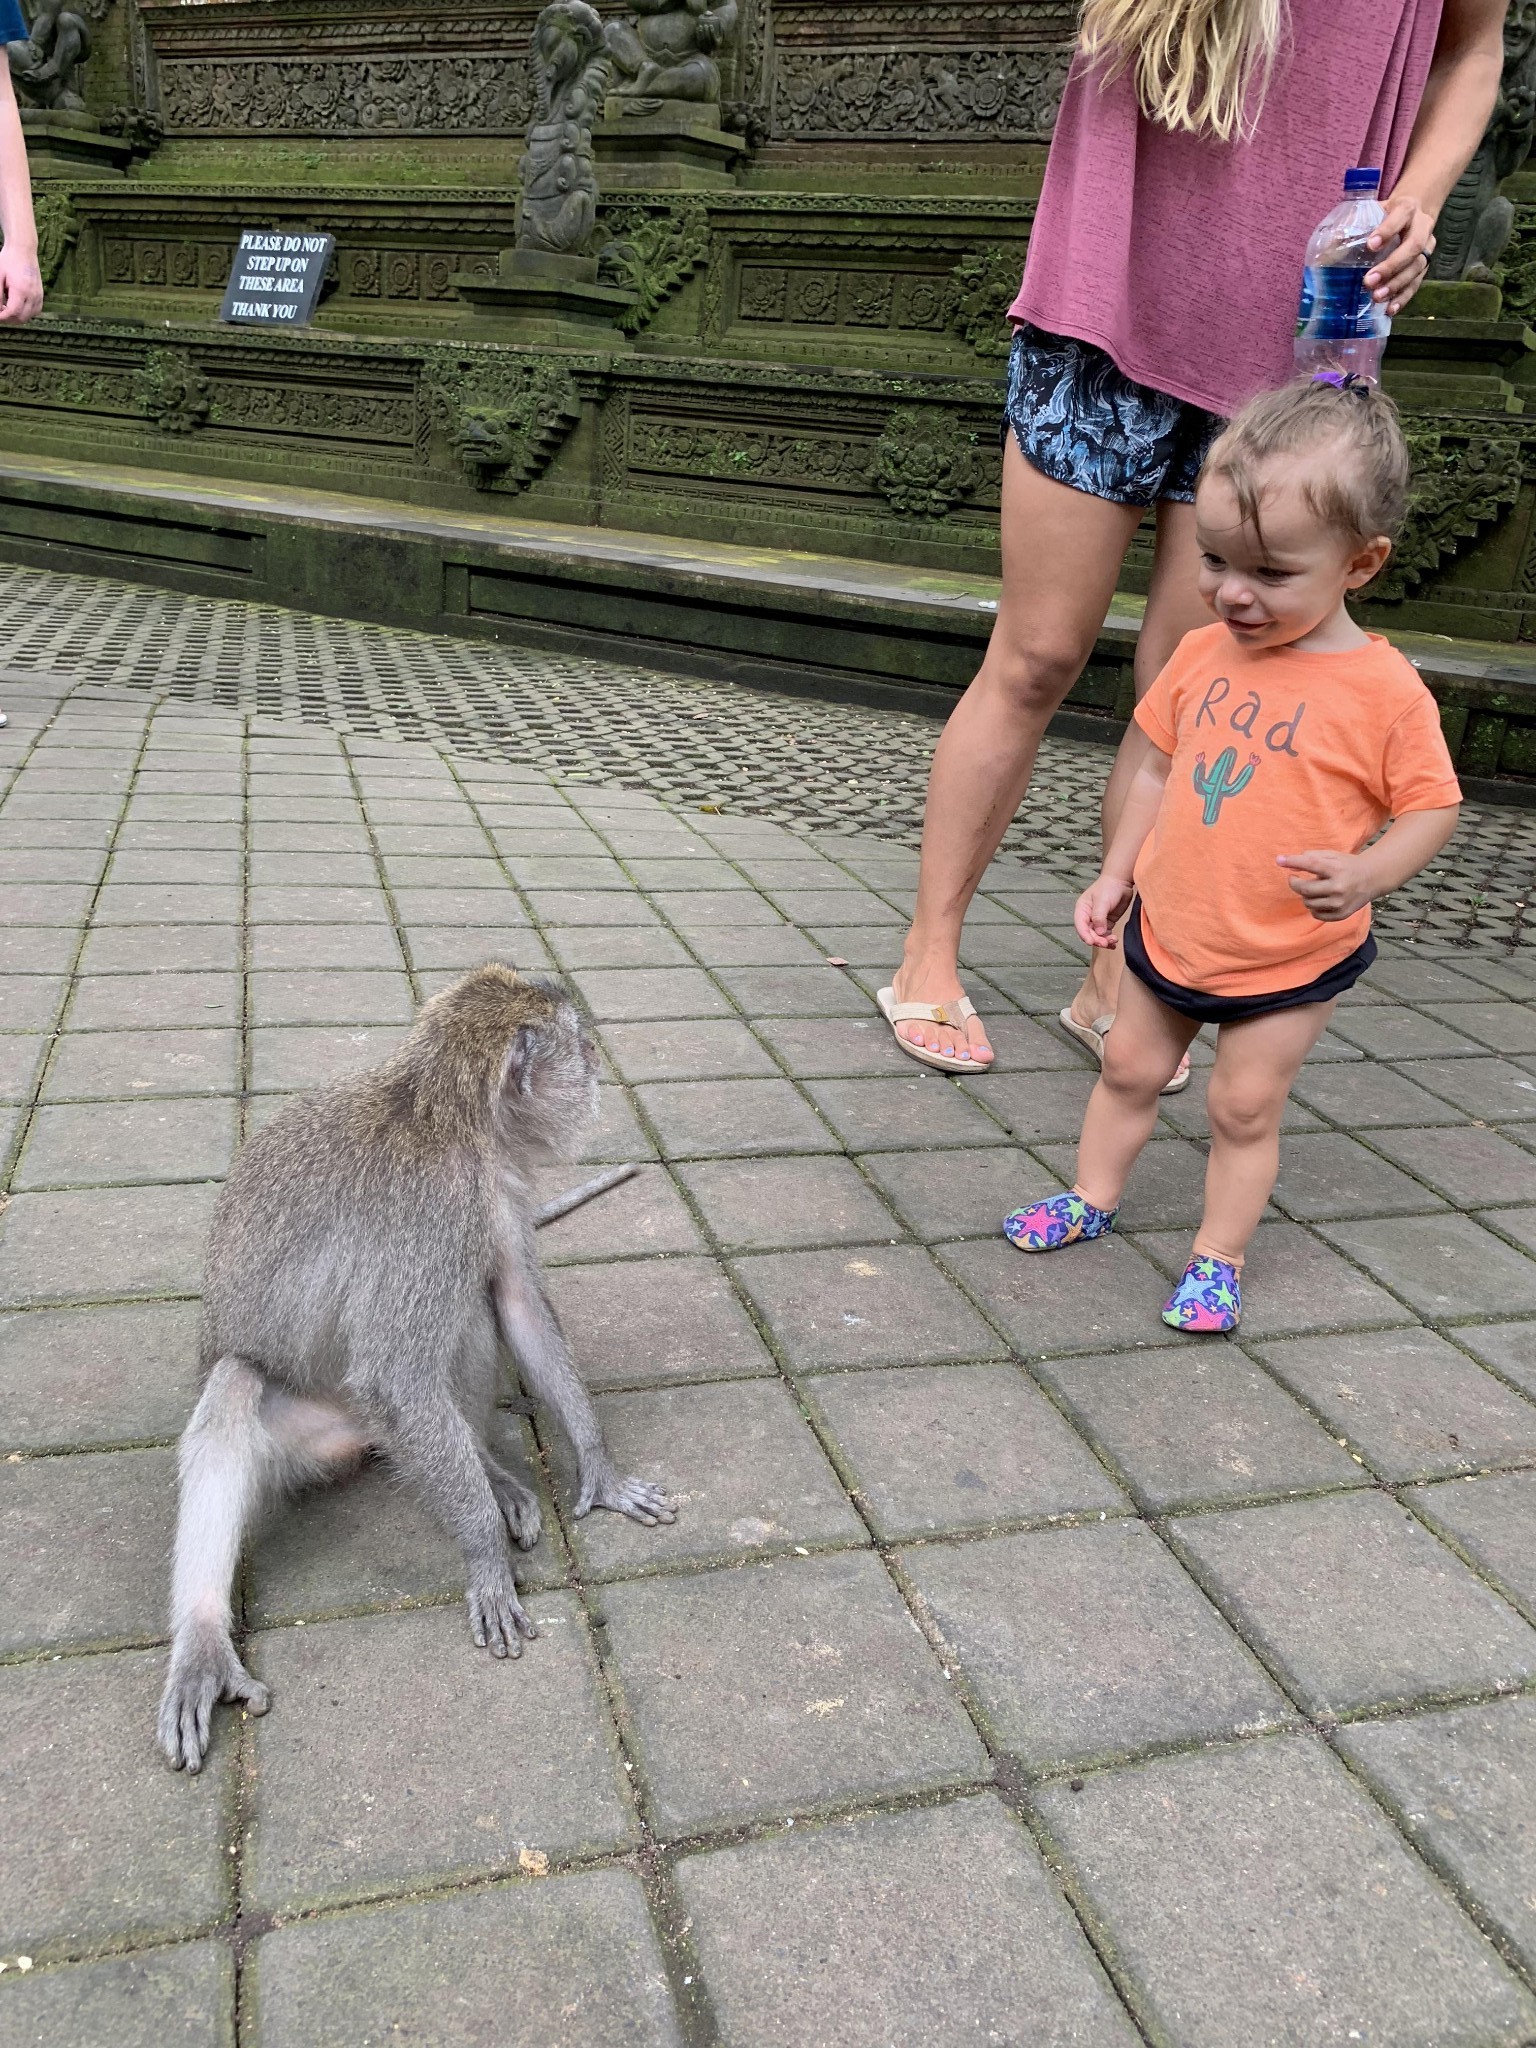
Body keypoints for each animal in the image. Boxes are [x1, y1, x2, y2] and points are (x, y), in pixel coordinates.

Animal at [154, 966, 671, 1769]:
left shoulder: (489, 1193)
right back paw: (204, 1639)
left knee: (472, 1312)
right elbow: (396, 1377)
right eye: (577, 1041)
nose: (596, 1064)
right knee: (240, 1381)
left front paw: (598, 1465)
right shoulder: (436, 1211)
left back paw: (488, 1472)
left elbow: (516, 1303)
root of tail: (357, 1438)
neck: (445, 1114)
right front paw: (485, 1557)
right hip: (313, 1431)